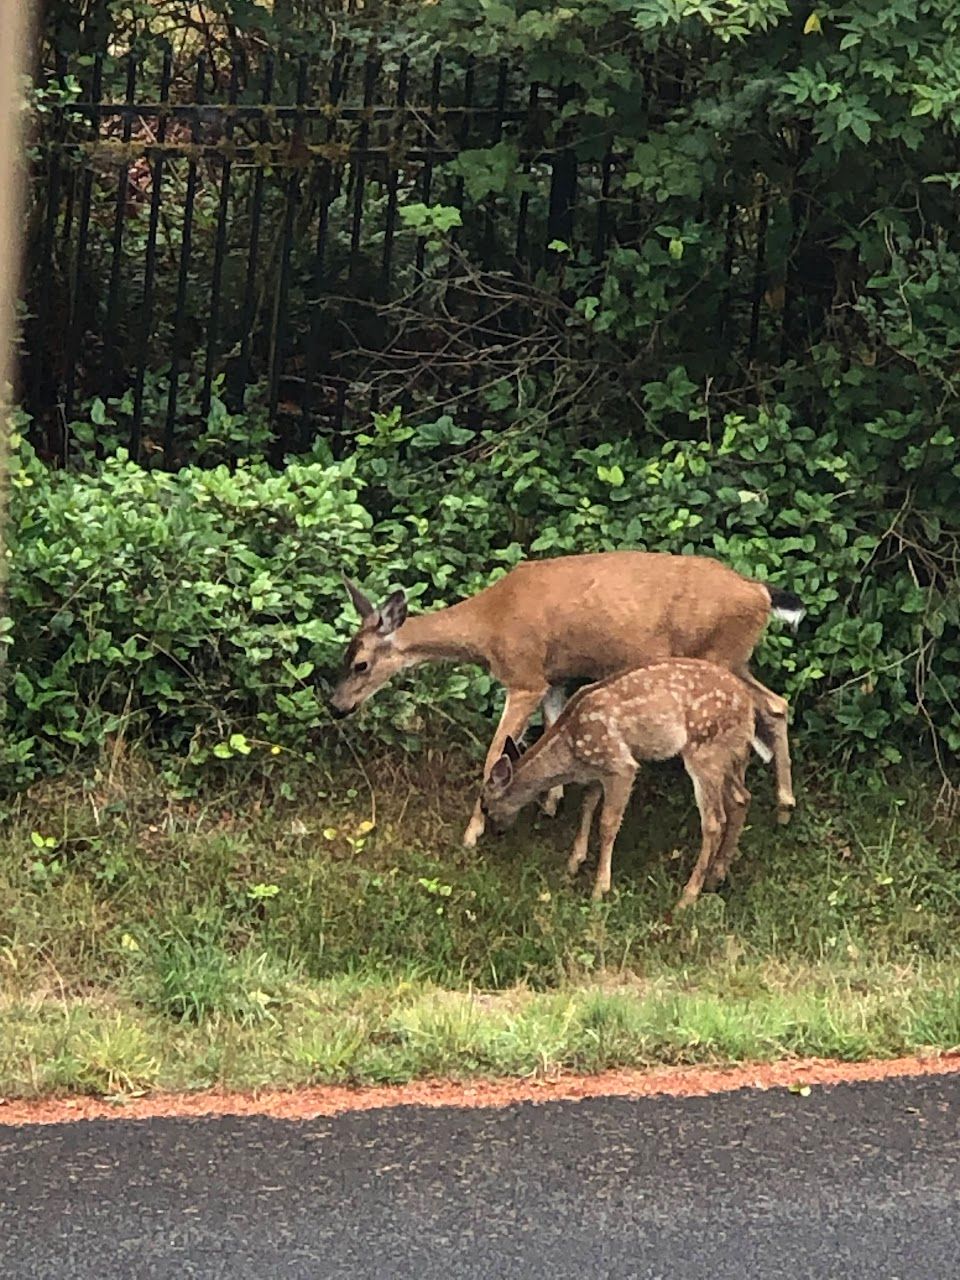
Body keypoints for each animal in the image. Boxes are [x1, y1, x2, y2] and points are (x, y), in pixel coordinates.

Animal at [330, 547, 803, 839]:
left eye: (361, 664)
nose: (336, 706)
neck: (488, 626)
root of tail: (759, 591)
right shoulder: (554, 679)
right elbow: (553, 726)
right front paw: (551, 802)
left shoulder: (524, 677)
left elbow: (493, 752)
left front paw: (473, 830)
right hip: (736, 659)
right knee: (777, 704)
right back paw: (784, 805)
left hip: (721, 655)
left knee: (766, 707)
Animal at [481, 660, 773, 901]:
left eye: (485, 805)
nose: (497, 832)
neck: (572, 749)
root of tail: (749, 707)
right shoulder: (599, 771)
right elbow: (587, 805)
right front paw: (574, 862)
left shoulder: (620, 765)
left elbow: (607, 823)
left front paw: (600, 888)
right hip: (729, 754)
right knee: (741, 799)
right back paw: (717, 876)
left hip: (704, 751)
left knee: (714, 821)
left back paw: (687, 897)